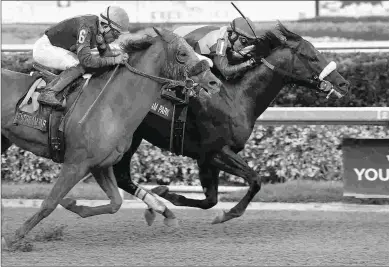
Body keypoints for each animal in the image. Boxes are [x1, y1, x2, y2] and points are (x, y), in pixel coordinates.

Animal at [0, 28, 221, 248]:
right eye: (182, 53)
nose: (214, 82)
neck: (111, 105)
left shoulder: (100, 165)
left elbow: (116, 203)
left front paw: (73, 205)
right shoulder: (76, 164)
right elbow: (49, 203)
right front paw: (13, 238)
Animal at [109, 22, 348, 225]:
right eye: (312, 57)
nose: (343, 83)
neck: (235, 97)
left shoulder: (206, 158)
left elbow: (210, 200)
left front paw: (167, 193)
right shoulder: (217, 151)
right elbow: (255, 179)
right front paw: (228, 214)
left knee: (121, 177)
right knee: (120, 175)